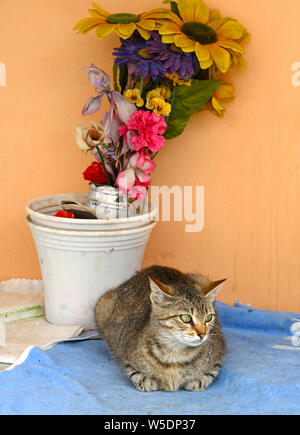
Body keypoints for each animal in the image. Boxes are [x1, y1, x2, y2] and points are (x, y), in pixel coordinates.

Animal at [95, 264, 226, 394]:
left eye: (208, 318)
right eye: (186, 318)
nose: (203, 334)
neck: (176, 355)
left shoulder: (218, 356)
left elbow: (207, 376)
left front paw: (196, 381)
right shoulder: (126, 355)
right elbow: (137, 375)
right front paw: (148, 381)